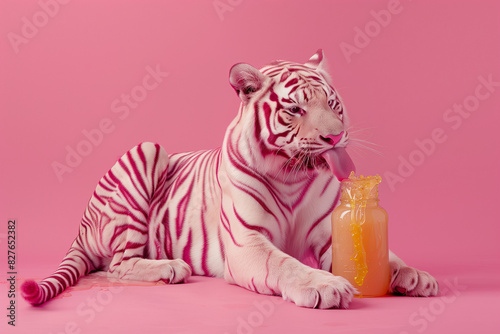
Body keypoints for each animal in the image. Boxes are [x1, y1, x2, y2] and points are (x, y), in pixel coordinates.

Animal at [22, 51, 438, 310]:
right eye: (295, 109)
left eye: (332, 103)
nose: (335, 137)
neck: (292, 174)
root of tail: (81, 225)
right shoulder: (246, 242)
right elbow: (286, 264)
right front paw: (325, 284)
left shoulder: (330, 235)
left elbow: (385, 255)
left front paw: (414, 275)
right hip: (148, 150)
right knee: (118, 264)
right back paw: (169, 268)